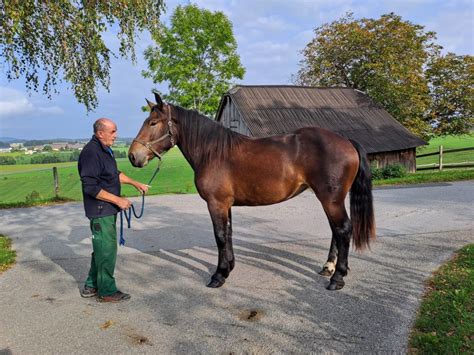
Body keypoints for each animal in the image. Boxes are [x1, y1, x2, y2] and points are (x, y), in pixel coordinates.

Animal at [128, 92, 376, 292]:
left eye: (153, 122)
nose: (132, 156)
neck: (213, 153)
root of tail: (346, 141)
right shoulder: (225, 205)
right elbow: (228, 234)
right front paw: (228, 268)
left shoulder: (216, 203)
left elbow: (219, 236)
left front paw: (218, 276)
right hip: (330, 199)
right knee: (336, 231)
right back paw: (328, 268)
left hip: (331, 199)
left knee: (343, 229)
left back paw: (337, 278)